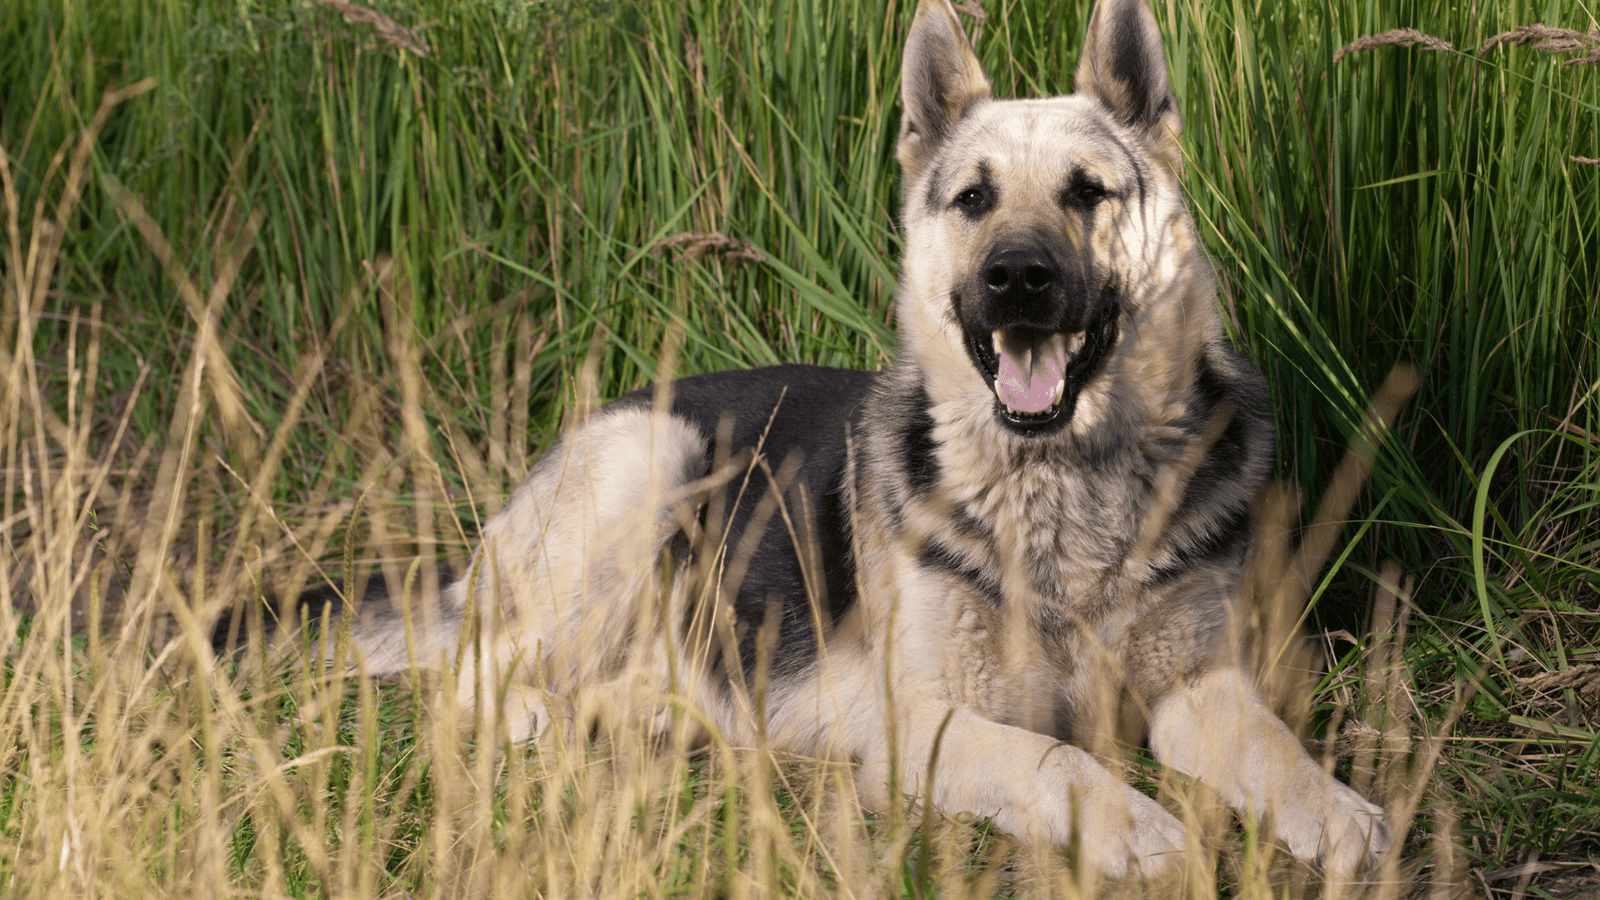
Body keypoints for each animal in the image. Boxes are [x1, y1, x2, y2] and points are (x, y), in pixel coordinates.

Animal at [297, 0, 1388, 877]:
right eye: (974, 199)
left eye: (1088, 191)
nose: (1017, 278)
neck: (1059, 482)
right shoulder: (929, 725)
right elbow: (1055, 757)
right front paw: (1138, 825)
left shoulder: (1200, 689)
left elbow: (1276, 752)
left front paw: (1338, 812)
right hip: (648, 468)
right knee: (477, 666)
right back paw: (532, 712)